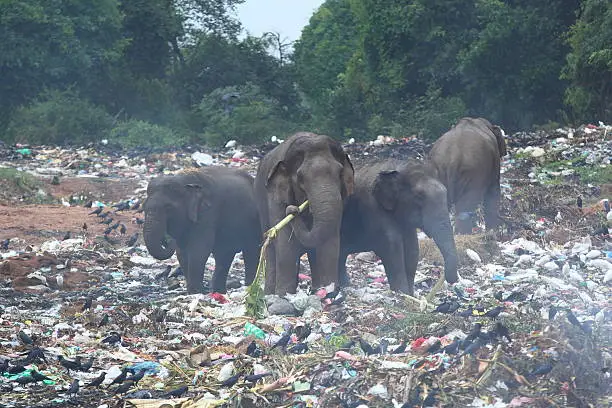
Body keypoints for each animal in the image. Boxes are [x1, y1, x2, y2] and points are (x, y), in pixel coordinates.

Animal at [145, 166, 262, 294]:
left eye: (168, 207)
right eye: (144, 207)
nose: (167, 239)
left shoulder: (208, 213)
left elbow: (199, 249)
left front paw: (196, 292)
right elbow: (182, 252)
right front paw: (193, 292)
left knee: (251, 251)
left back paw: (249, 286)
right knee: (224, 255)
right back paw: (218, 291)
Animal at [253, 132, 356, 294]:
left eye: (339, 173)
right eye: (300, 178)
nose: (293, 210)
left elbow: (330, 241)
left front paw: (330, 291)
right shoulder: (275, 198)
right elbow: (285, 243)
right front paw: (283, 294)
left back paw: (315, 289)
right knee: (270, 248)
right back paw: (268, 293)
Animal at [340, 158, 460, 294]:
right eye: (419, 197)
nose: (451, 280)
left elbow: (412, 247)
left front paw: (410, 295)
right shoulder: (371, 207)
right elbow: (391, 244)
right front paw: (402, 293)